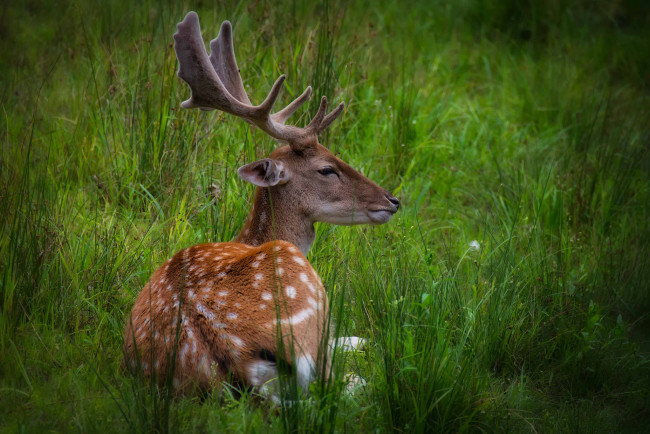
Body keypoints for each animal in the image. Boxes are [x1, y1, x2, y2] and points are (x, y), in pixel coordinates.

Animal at [120, 11, 394, 396]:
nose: (392, 200)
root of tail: (232, 357)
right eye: (326, 169)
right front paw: (363, 341)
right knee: (338, 382)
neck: (249, 239)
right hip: (305, 296)